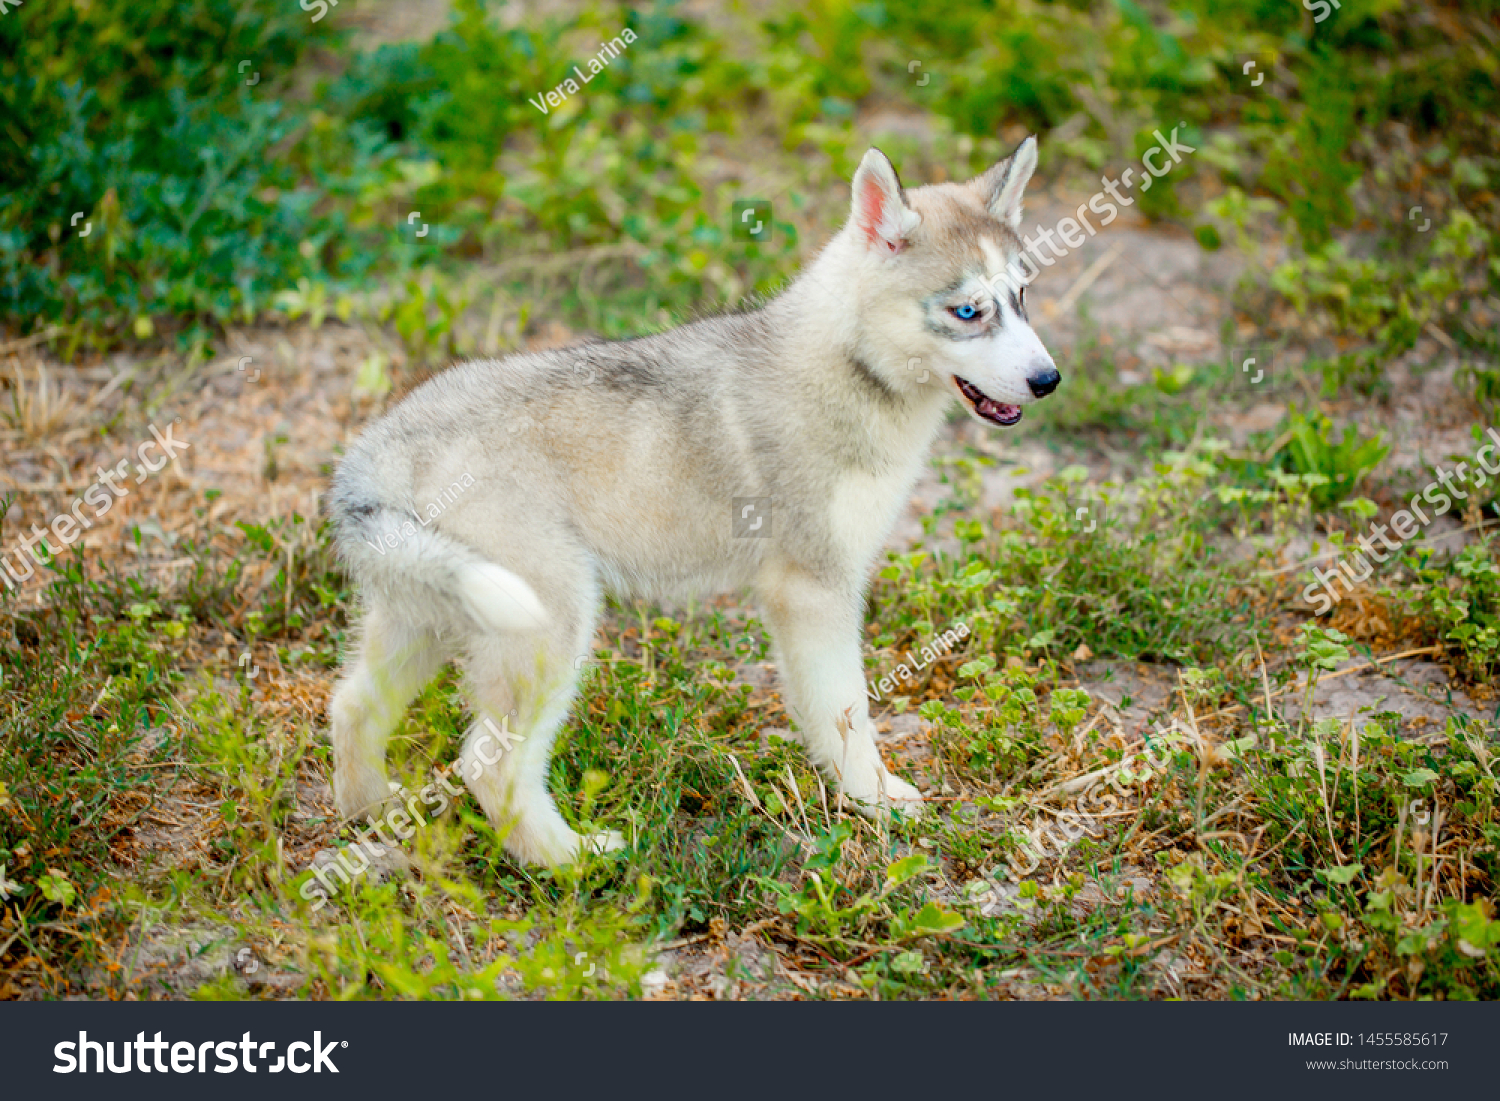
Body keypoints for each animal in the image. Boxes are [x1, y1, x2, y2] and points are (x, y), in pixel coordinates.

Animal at [328, 138, 1056, 864]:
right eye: (967, 311)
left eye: (1022, 295)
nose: (1048, 380)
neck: (852, 366)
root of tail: (375, 451)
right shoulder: (813, 587)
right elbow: (844, 710)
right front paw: (871, 797)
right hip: (544, 617)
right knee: (490, 764)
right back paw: (574, 861)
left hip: (427, 607)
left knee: (352, 705)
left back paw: (371, 813)